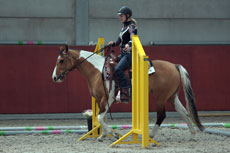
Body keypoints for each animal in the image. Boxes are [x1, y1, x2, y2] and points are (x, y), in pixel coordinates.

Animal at [51, 45, 203, 142]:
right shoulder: (100, 99)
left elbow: (100, 117)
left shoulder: (108, 98)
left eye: (61, 60)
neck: (98, 71)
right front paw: (102, 136)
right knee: (184, 112)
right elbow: (101, 118)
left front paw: (113, 134)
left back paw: (150, 136)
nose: (54, 77)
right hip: (172, 96)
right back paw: (193, 135)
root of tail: (174, 66)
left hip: (160, 97)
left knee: (161, 115)